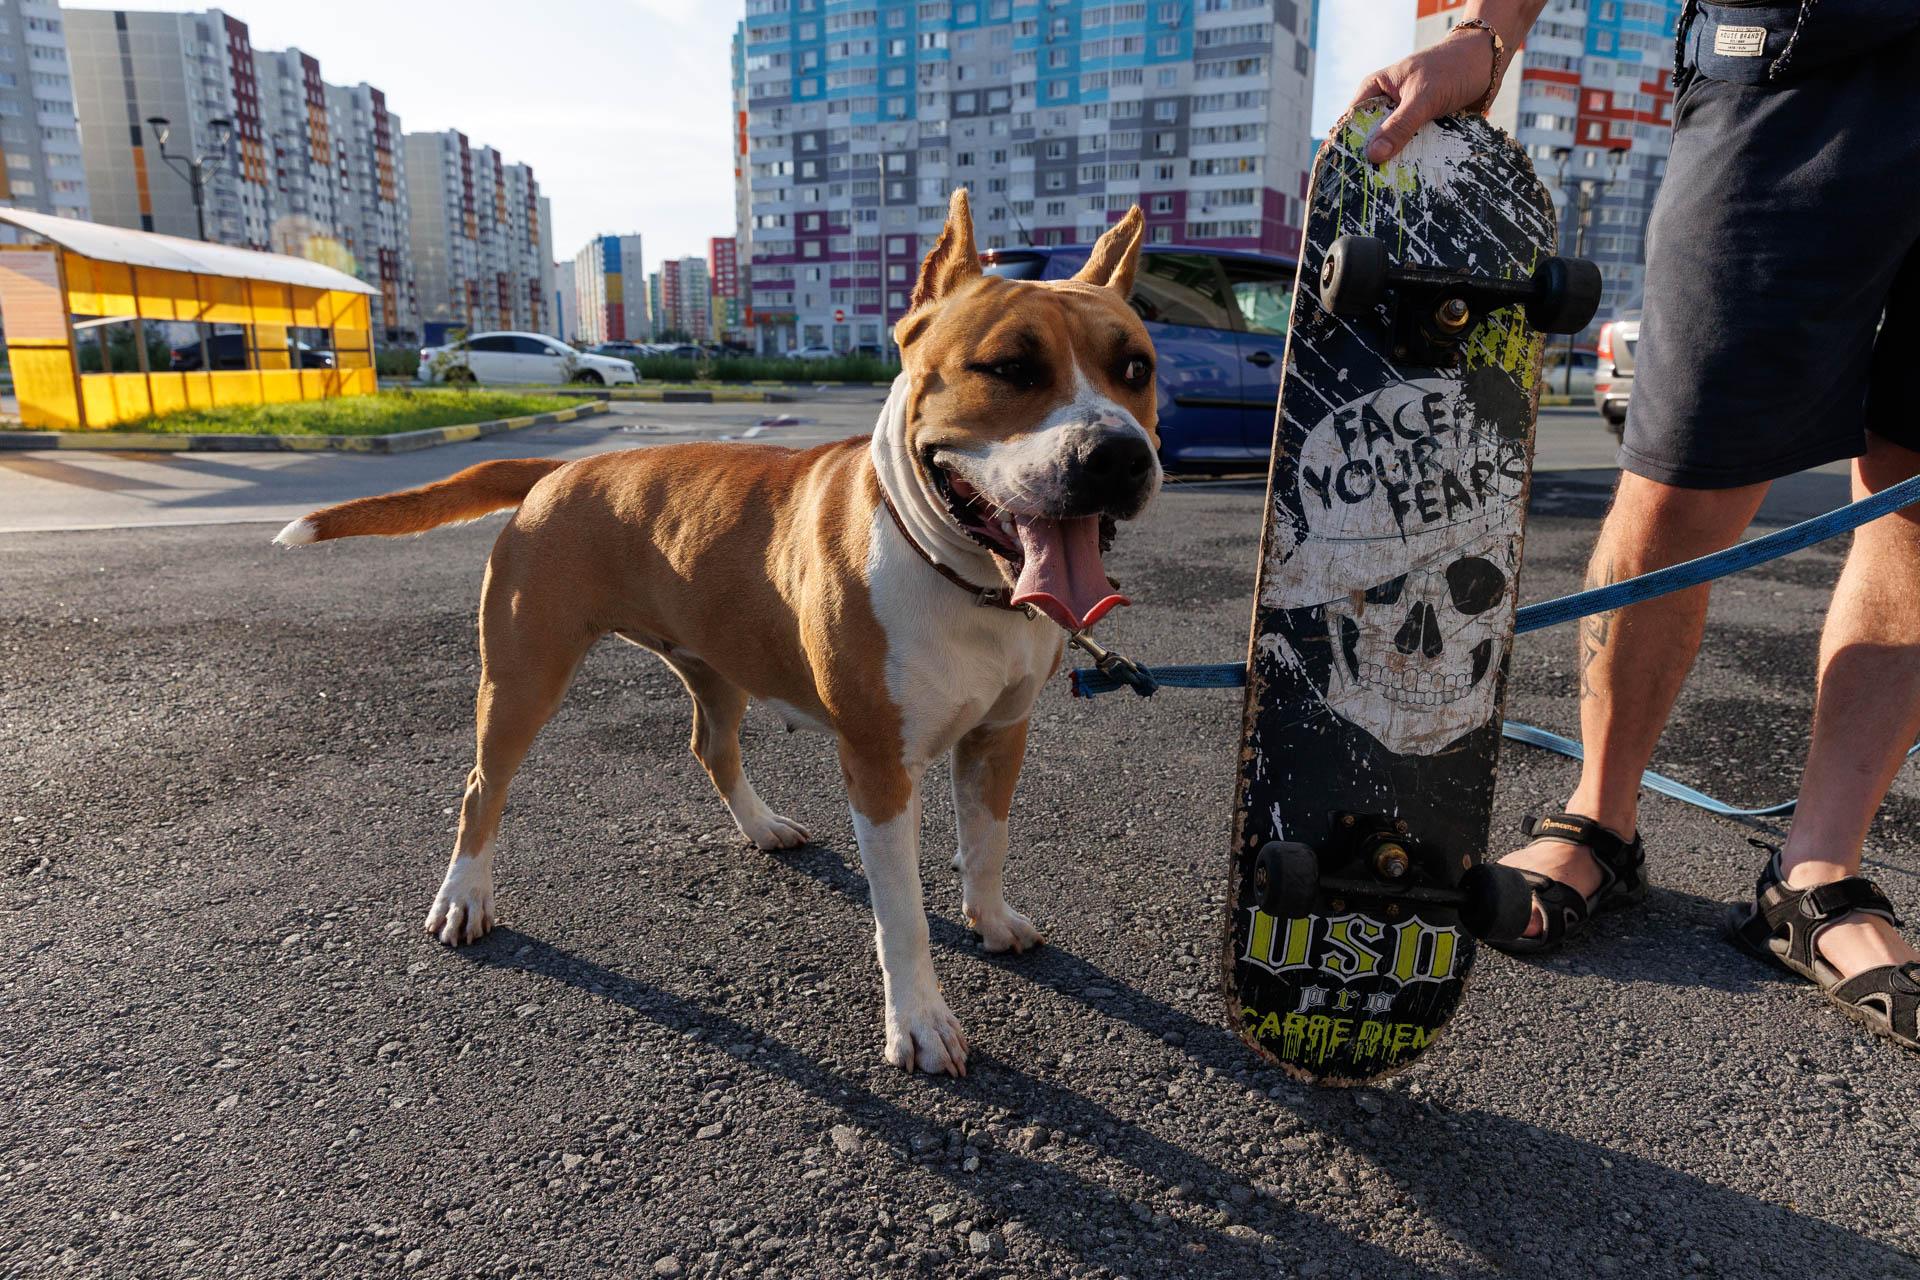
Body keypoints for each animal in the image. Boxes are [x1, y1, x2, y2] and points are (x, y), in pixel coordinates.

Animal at [276, 189, 1159, 1074]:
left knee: (712, 746)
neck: (961, 575)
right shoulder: (878, 767)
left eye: (1137, 370)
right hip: (523, 678)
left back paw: (762, 826)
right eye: (1009, 368)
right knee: (480, 787)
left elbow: (987, 841)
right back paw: (463, 896)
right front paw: (918, 1022)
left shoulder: (1001, 734)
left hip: (715, 663)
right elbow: (903, 914)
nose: (1119, 455)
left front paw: (992, 920)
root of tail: (556, 469)